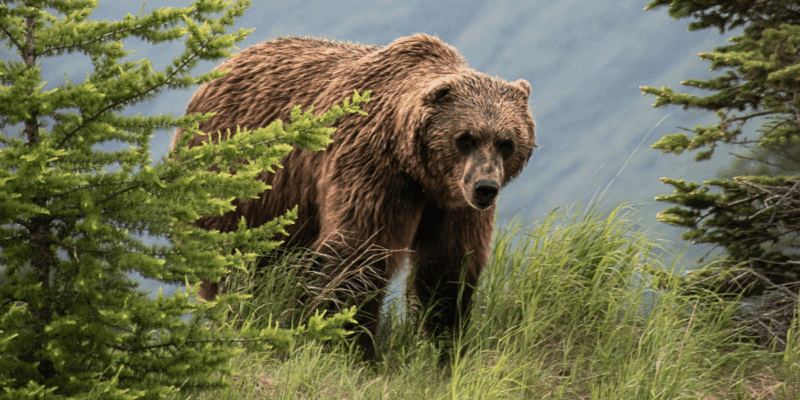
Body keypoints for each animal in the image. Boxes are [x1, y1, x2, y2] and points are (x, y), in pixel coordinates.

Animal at [171, 33, 536, 361]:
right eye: (465, 138)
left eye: (507, 142)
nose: (485, 187)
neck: (418, 172)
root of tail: (218, 71)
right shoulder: (372, 170)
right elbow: (358, 254)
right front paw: (352, 348)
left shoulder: (452, 204)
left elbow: (448, 266)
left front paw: (443, 345)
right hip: (240, 188)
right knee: (237, 268)